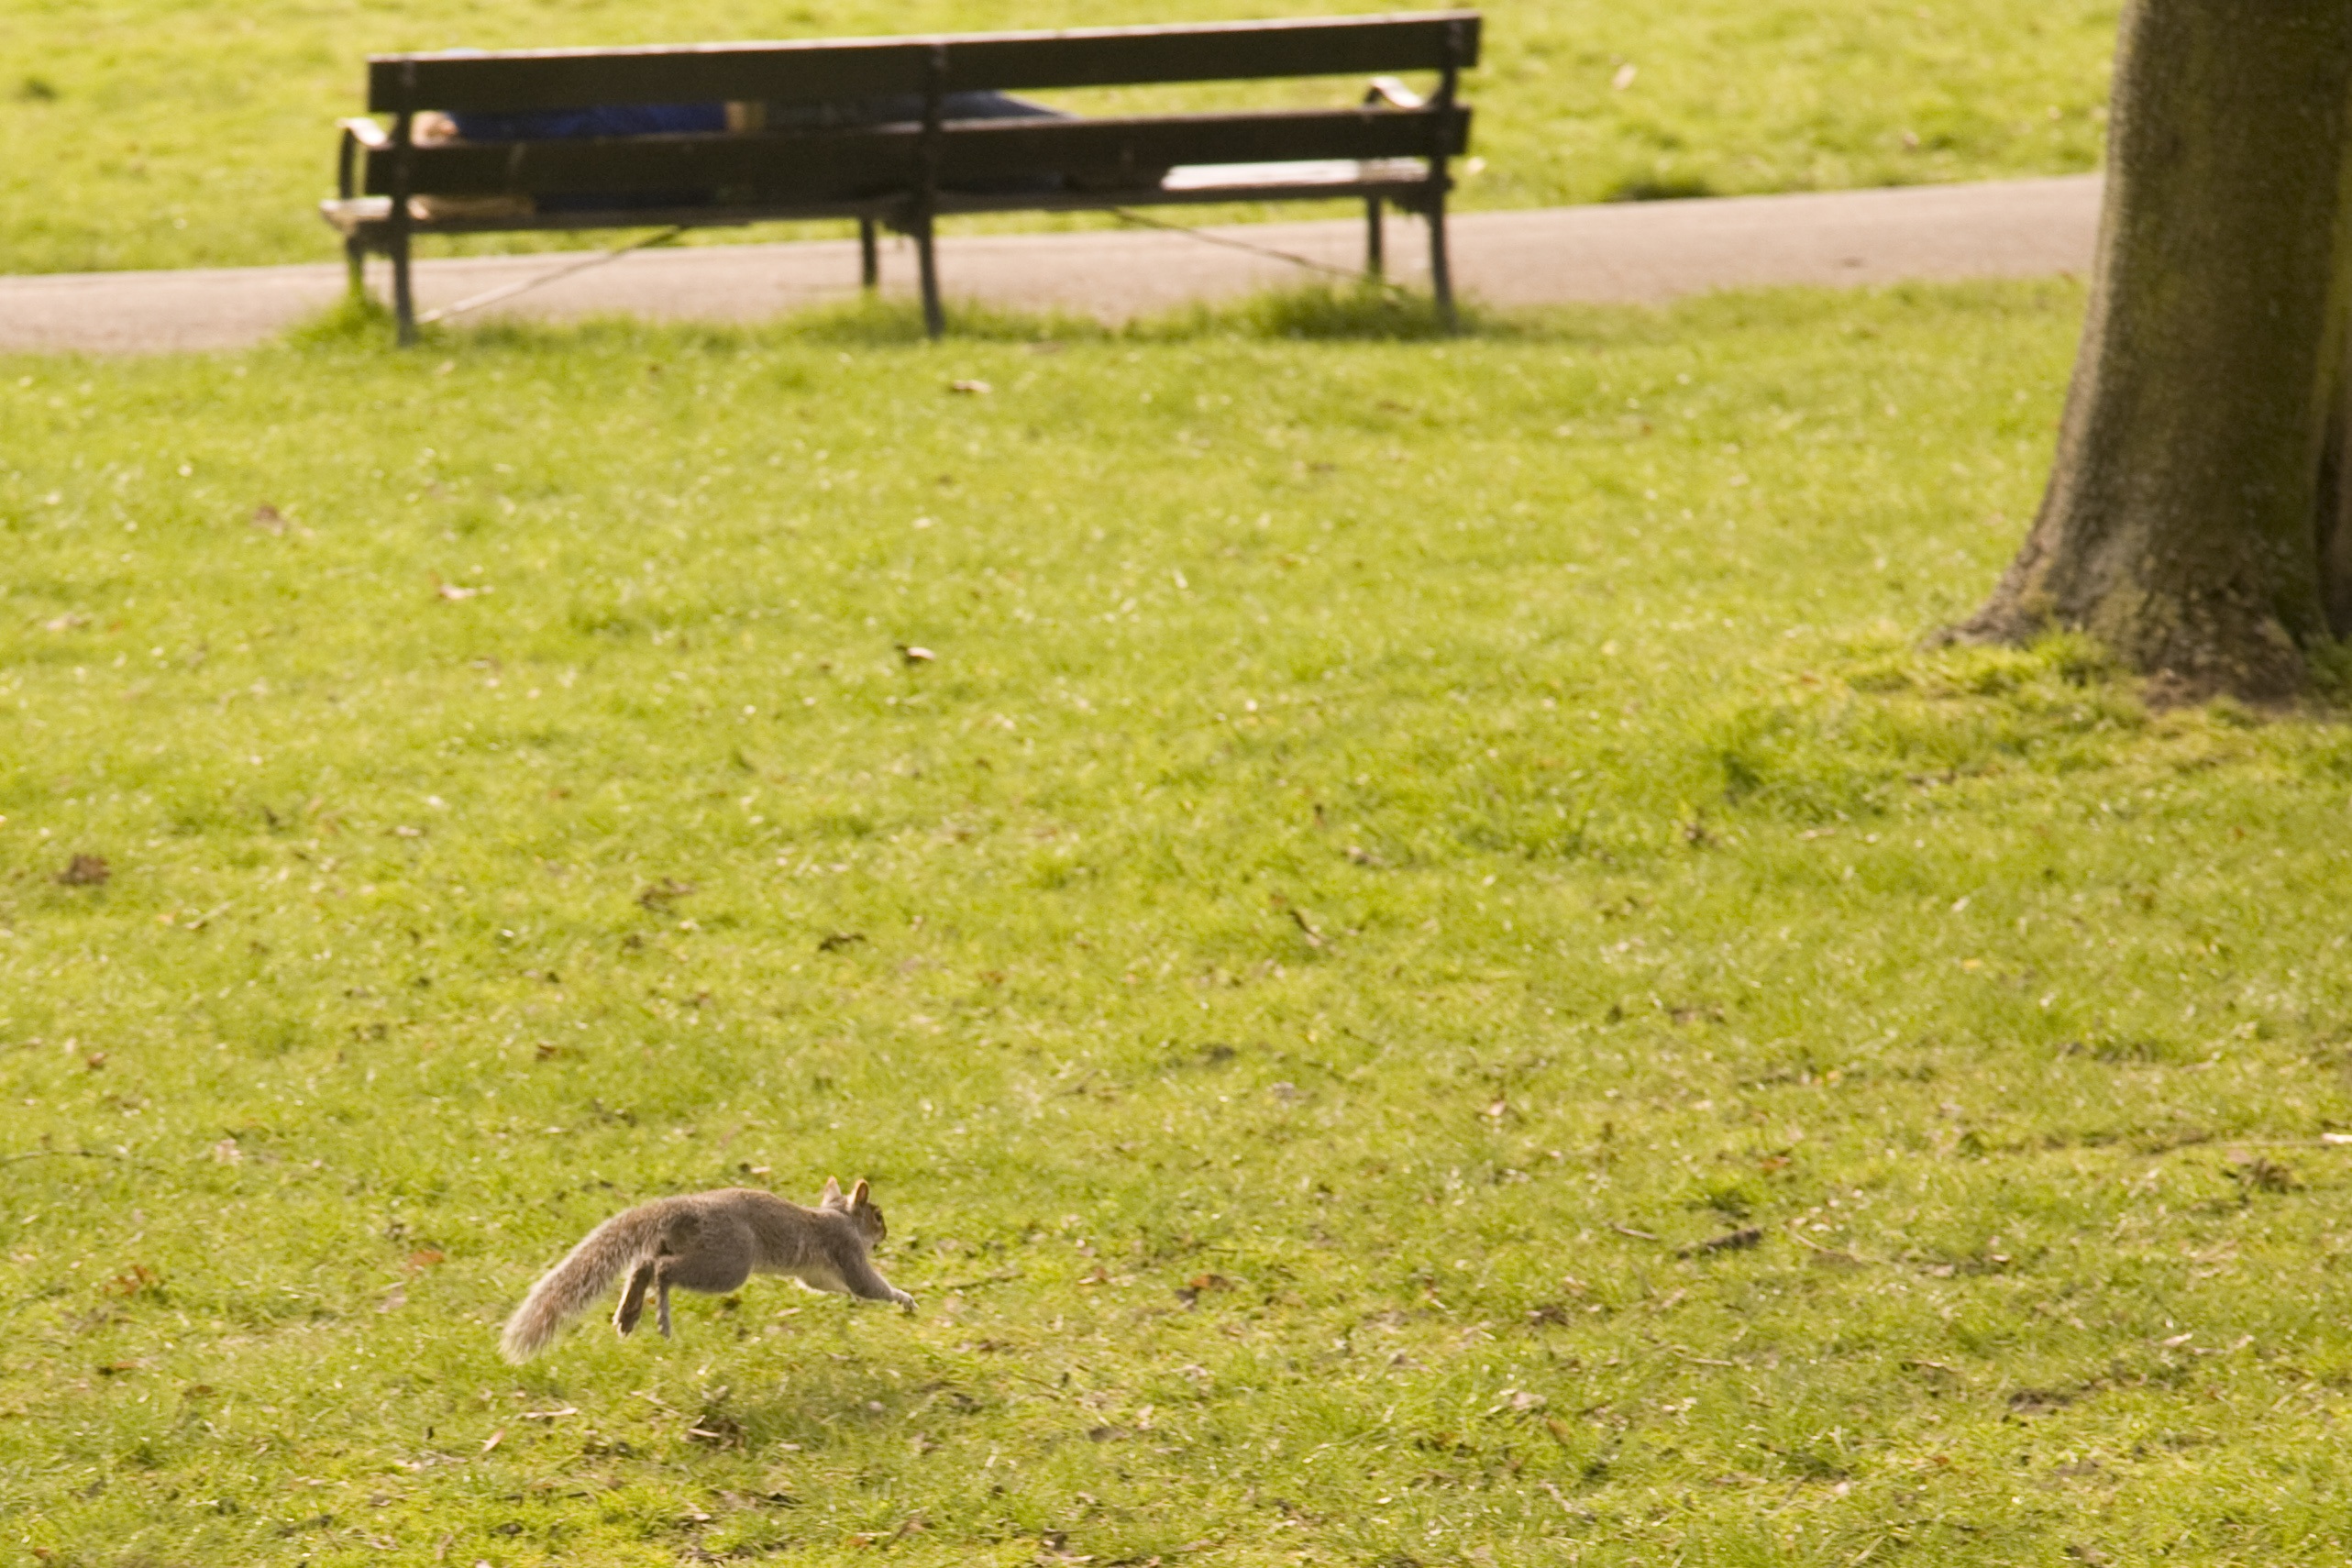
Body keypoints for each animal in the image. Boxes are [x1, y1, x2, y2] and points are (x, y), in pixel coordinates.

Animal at [499, 1177, 914, 1362]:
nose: (886, 1233)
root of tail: (687, 1210)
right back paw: (661, 1318)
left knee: (643, 1264)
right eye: (877, 1215)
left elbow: (831, 1286)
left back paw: (629, 1312)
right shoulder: (846, 1249)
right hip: (728, 1263)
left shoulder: (819, 1272)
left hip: (676, 1244)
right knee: (663, 1270)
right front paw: (903, 1297)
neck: (838, 1216)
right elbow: (866, 1285)